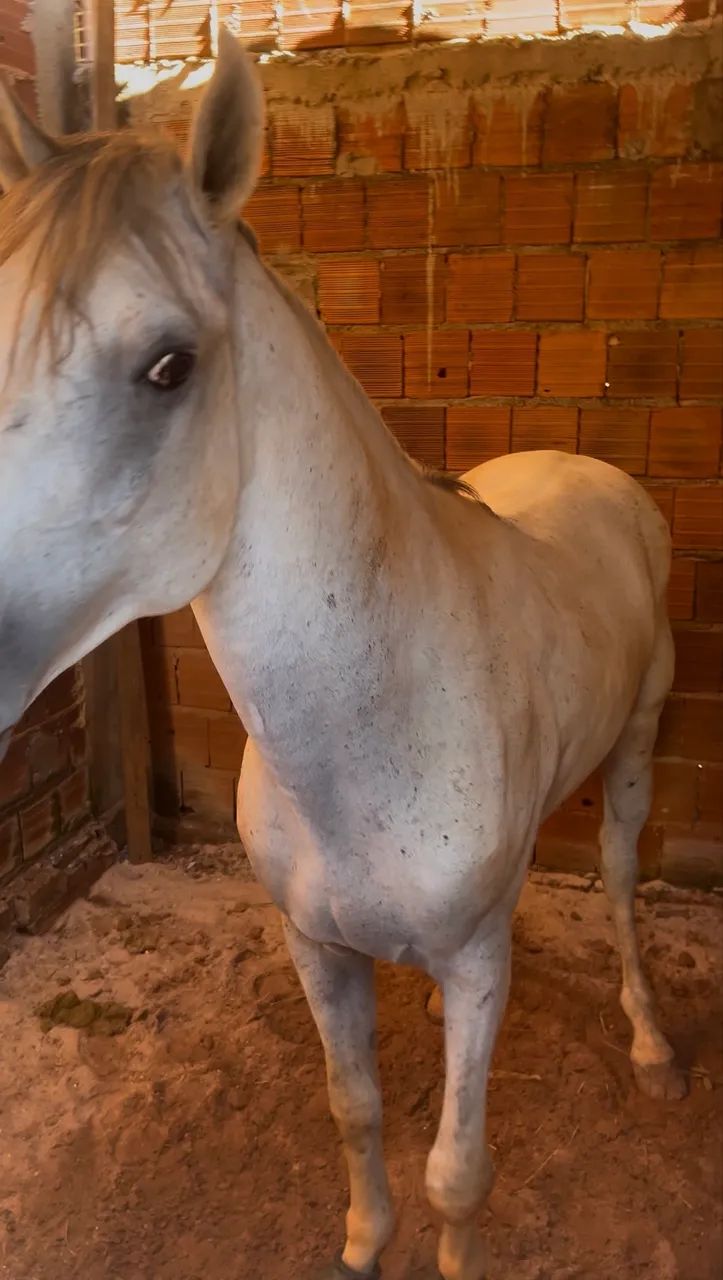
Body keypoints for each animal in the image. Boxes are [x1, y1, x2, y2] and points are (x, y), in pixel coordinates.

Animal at [0, 33, 686, 1280]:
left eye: (169, 365)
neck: (376, 730)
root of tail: (597, 474)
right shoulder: (318, 949)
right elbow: (352, 1106)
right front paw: (366, 1243)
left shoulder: (475, 960)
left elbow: (458, 1169)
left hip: (636, 753)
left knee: (618, 882)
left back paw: (655, 1045)